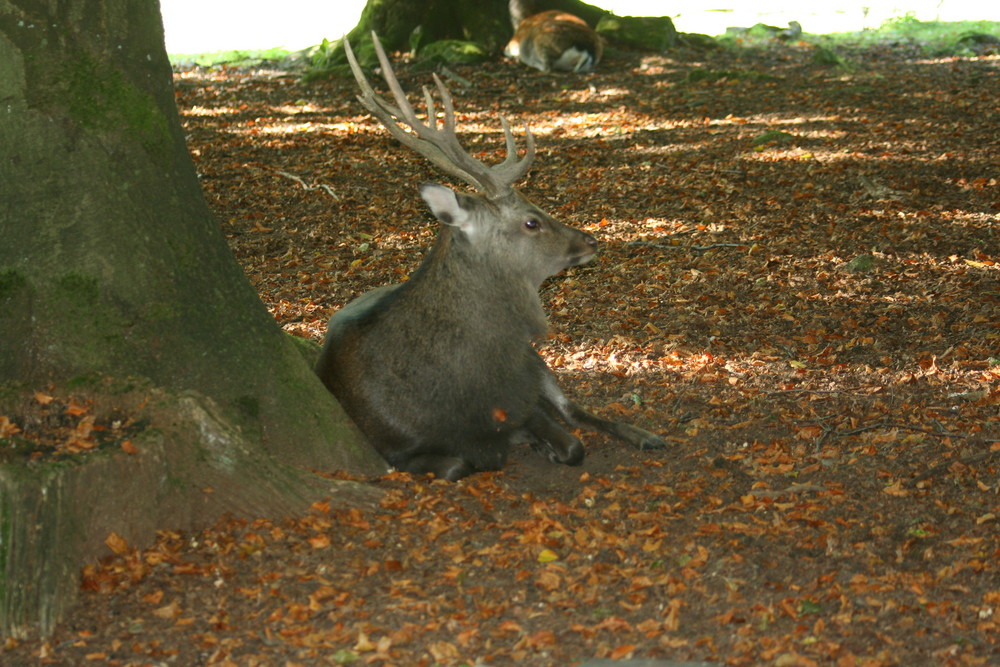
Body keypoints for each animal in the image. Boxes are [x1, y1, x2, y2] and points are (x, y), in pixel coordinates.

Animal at [316, 34, 664, 480]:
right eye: (532, 221)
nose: (590, 241)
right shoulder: (394, 447)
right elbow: (456, 465)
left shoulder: (523, 393)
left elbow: (571, 442)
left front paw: (545, 446)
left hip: (533, 360)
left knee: (576, 411)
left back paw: (647, 436)